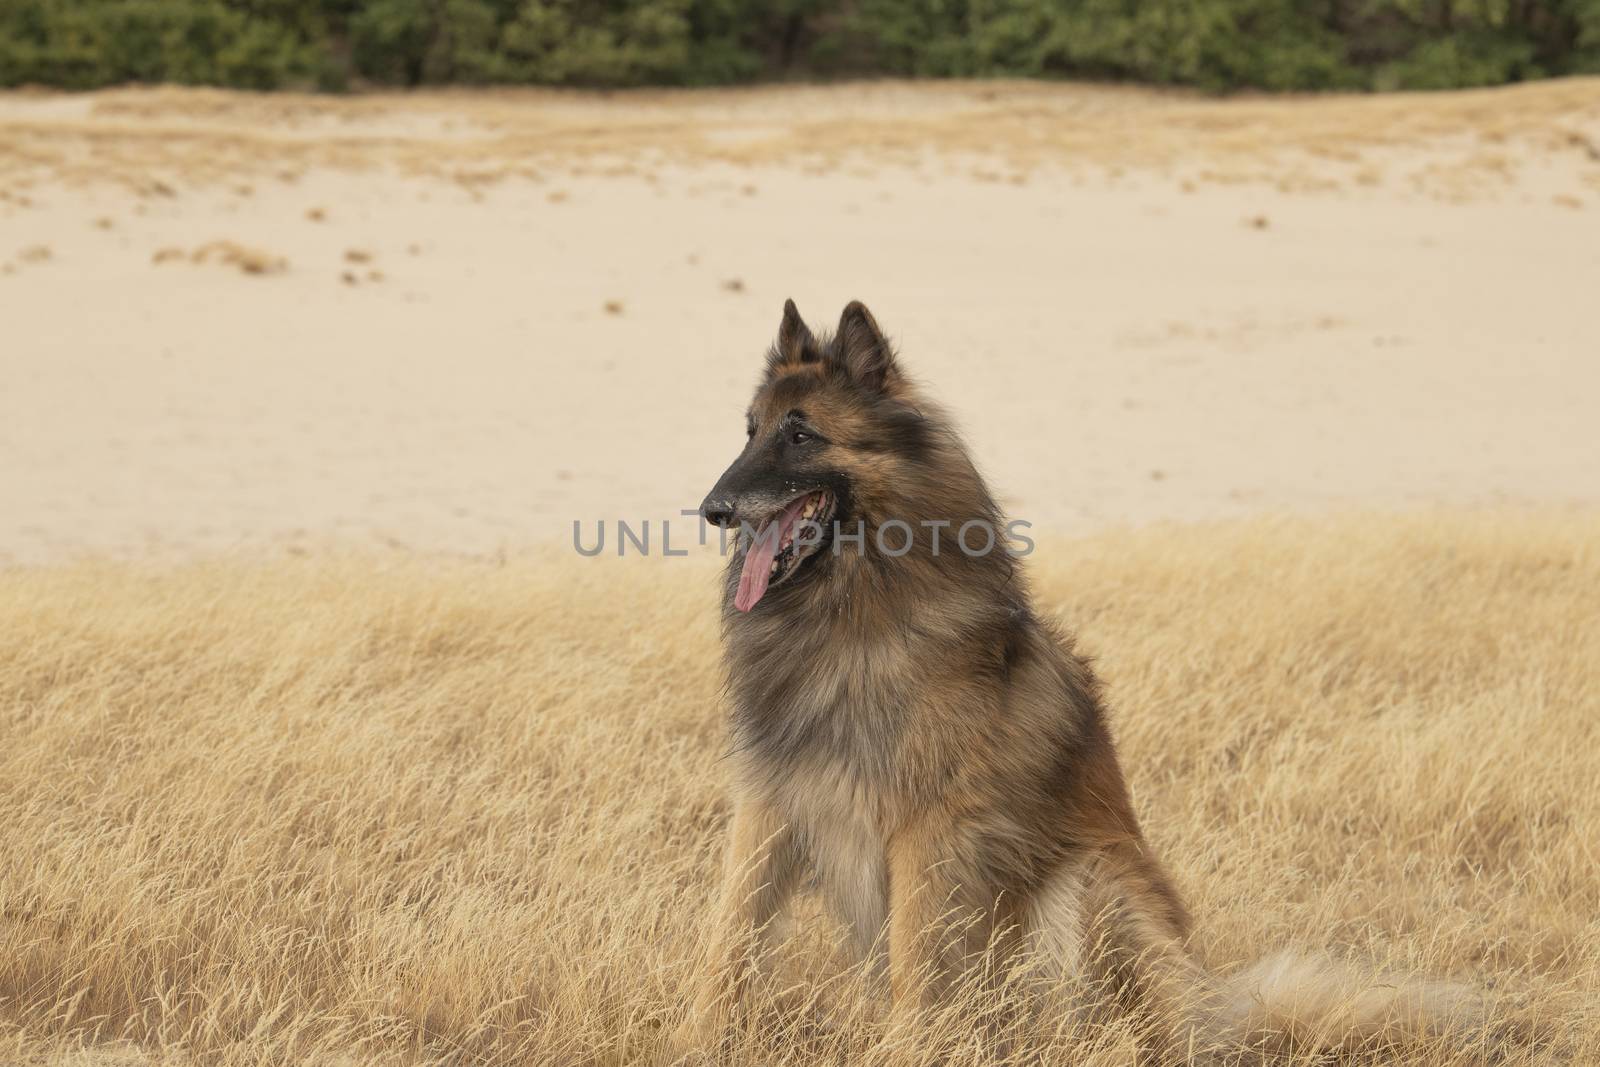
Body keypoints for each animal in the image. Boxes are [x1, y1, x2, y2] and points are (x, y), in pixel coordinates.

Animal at [672, 299, 1472, 1062]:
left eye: (801, 434)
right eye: (750, 430)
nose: (713, 510)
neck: (850, 610)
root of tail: (1217, 1009)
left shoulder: (926, 831)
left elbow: (914, 966)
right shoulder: (771, 805)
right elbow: (725, 942)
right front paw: (698, 1040)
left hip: (1091, 882)